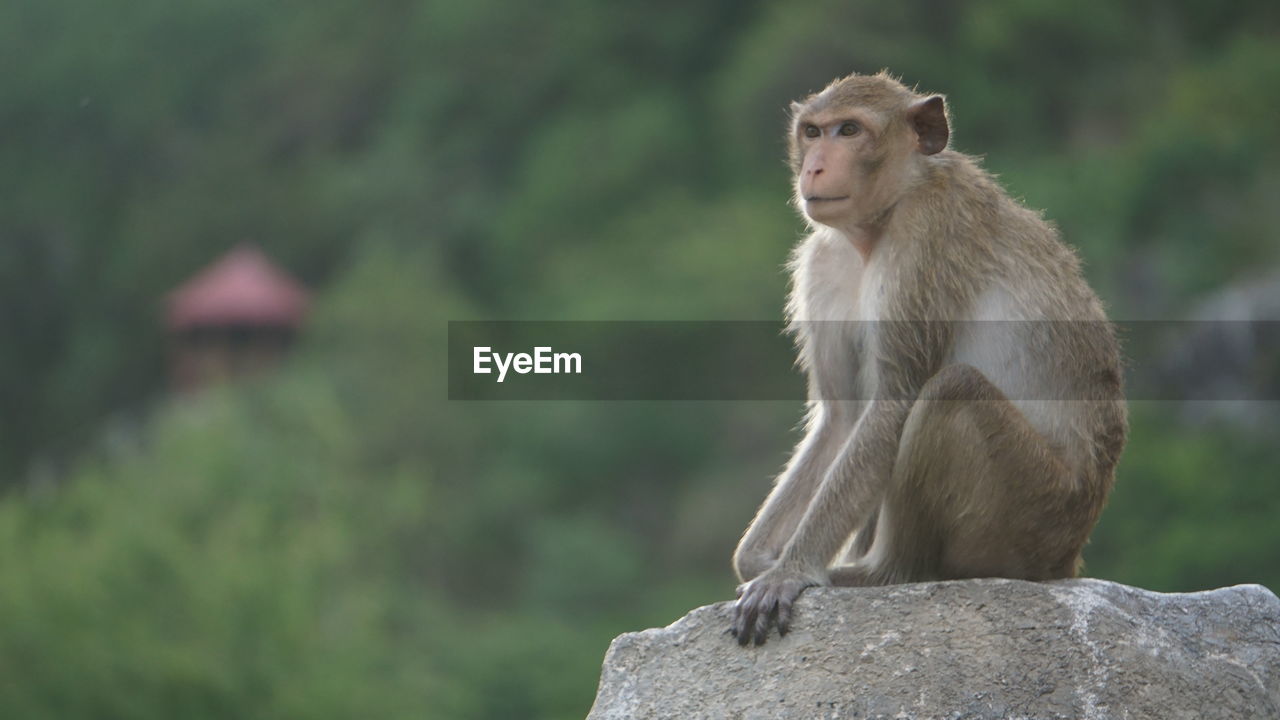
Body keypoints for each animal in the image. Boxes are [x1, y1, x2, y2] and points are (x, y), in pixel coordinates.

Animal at [732, 73, 1131, 645]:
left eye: (849, 130)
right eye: (812, 132)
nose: (814, 166)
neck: (881, 221)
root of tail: (1066, 559)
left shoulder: (925, 236)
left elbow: (894, 402)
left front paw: (790, 570)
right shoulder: (822, 262)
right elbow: (843, 418)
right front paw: (759, 557)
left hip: (1036, 509)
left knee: (952, 388)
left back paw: (885, 572)